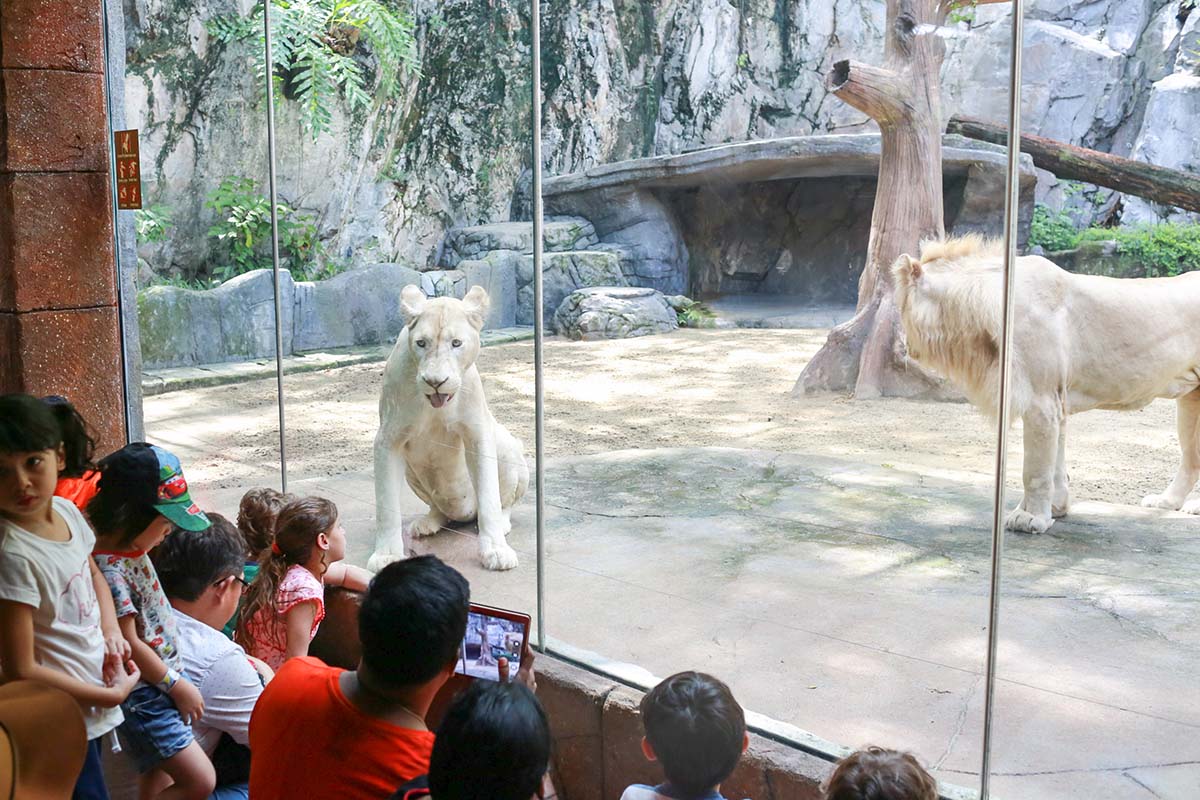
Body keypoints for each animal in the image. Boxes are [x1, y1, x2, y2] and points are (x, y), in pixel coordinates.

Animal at [369, 284, 530, 573]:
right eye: (421, 343)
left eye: (456, 343)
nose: (435, 382)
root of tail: (463, 512)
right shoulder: (388, 439)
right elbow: (385, 503)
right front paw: (386, 555)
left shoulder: (478, 433)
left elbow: (489, 496)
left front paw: (496, 551)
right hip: (412, 472)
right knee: (440, 510)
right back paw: (426, 524)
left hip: (509, 448)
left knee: (503, 503)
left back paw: (502, 523)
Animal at [892, 237, 1200, 534]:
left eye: (901, 306)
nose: (903, 344)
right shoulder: (1056, 400)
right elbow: (1055, 463)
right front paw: (1055, 508)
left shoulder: (1041, 400)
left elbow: (1035, 469)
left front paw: (1030, 518)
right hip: (1191, 400)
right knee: (1191, 458)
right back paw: (1167, 502)